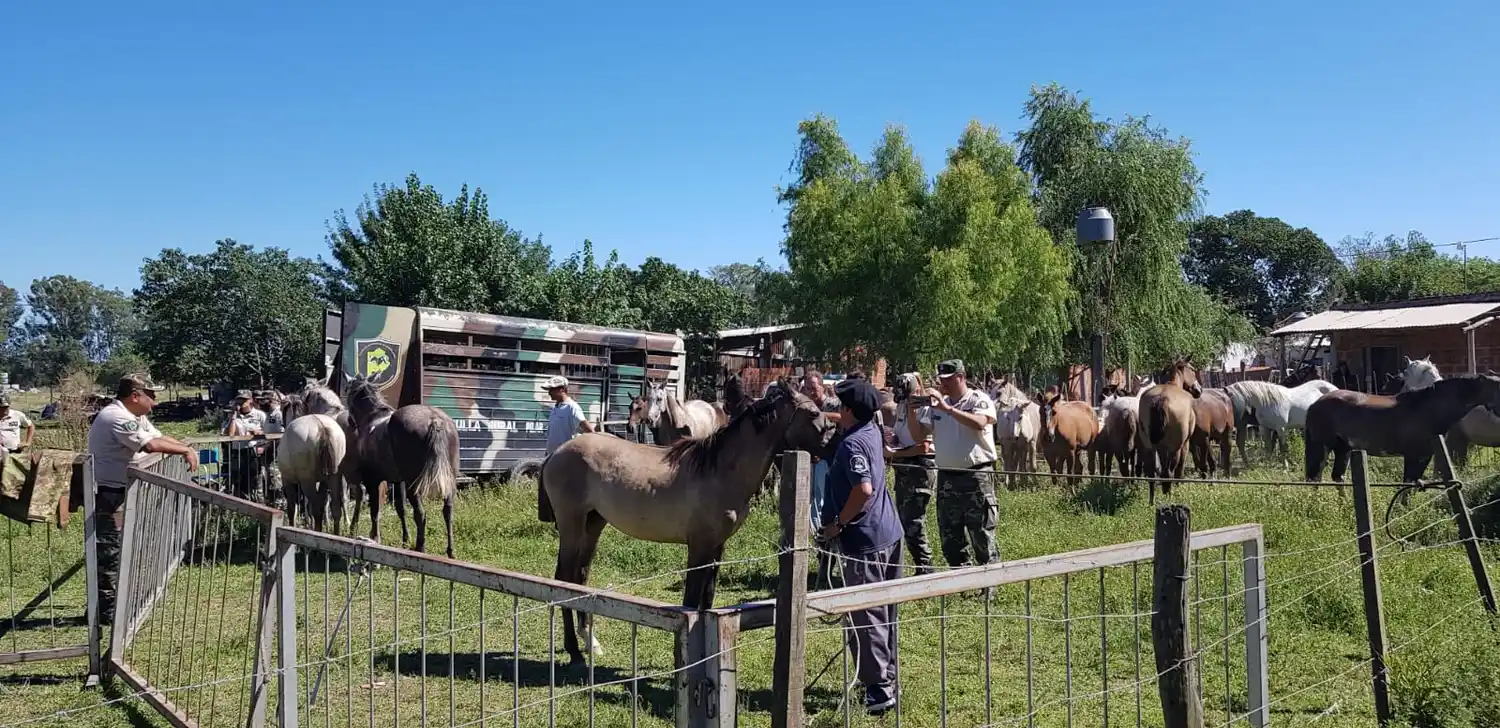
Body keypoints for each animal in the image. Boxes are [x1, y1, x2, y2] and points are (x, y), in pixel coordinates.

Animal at [277, 394, 347, 533]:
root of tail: (322, 428)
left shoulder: (287, 480)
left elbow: (292, 508)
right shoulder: (323, 482)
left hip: (307, 481)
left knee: (315, 507)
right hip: (334, 476)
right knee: (335, 507)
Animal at [343, 377, 461, 558]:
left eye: (347, 391)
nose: (350, 421)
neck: (372, 418)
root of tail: (434, 420)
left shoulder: (373, 480)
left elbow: (375, 509)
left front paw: (375, 537)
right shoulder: (398, 480)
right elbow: (400, 508)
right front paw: (405, 539)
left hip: (415, 483)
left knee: (420, 513)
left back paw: (420, 548)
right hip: (449, 480)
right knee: (448, 512)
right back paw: (450, 551)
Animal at [539, 377, 835, 666]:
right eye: (812, 412)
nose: (832, 444)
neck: (718, 471)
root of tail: (556, 453)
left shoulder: (717, 547)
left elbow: (707, 600)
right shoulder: (699, 546)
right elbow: (691, 602)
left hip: (593, 524)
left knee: (579, 578)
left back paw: (590, 642)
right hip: (572, 524)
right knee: (562, 579)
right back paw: (574, 651)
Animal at [1136, 358, 1203, 498]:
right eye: (1192, 369)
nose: (1199, 389)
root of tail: (1161, 399)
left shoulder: (1161, 448)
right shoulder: (1185, 444)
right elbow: (1179, 469)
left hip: (1150, 447)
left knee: (1153, 473)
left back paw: (1152, 500)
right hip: (1174, 448)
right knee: (1170, 472)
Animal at [1304, 374, 1500, 487]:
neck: (1428, 408)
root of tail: (1315, 403)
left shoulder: (1424, 456)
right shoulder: (1415, 455)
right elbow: (1407, 486)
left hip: (1343, 449)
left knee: (1337, 478)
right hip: (1323, 448)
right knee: (1315, 479)